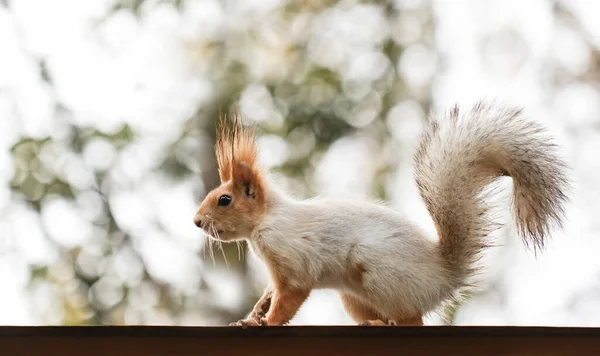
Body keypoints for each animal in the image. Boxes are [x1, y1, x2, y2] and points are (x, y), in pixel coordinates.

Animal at [192, 101, 568, 326]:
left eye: (224, 200)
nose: (196, 221)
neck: (266, 221)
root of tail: (443, 276)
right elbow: (271, 293)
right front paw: (255, 313)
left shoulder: (292, 260)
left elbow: (289, 298)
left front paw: (268, 322)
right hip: (353, 295)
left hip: (378, 274)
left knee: (411, 320)